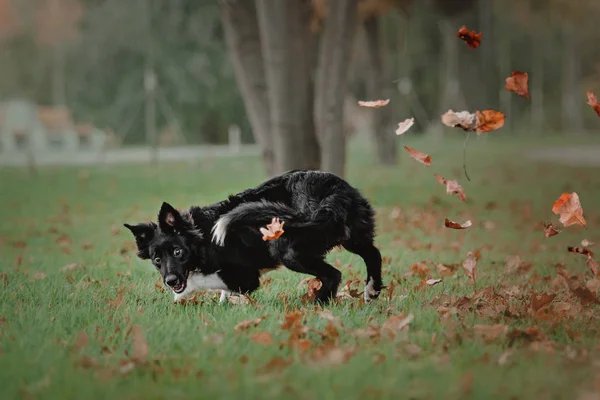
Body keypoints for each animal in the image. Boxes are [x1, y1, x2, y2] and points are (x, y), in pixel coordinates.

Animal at [124, 169, 382, 304]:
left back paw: (318, 303)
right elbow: (223, 292)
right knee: (374, 254)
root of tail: (332, 193)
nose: (170, 281)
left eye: (178, 252)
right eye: (157, 259)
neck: (203, 236)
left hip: (287, 249)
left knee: (333, 274)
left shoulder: (246, 276)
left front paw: (183, 294)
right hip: (352, 235)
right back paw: (372, 291)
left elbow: (209, 280)